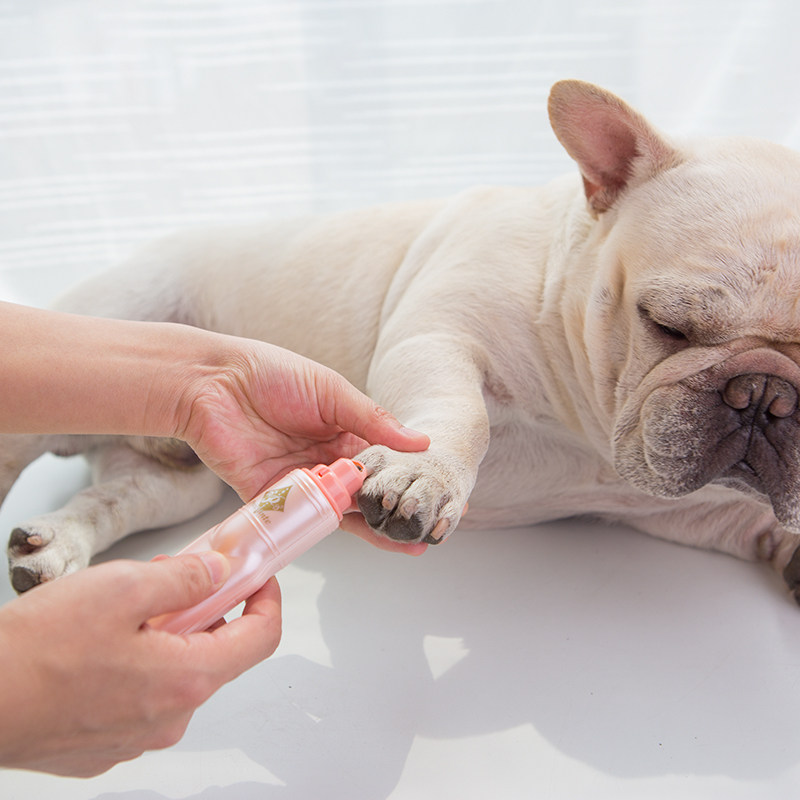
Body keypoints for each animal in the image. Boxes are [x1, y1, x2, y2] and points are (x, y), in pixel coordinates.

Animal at [6, 79, 800, 602]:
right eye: (666, 325)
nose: (764, 394)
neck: (595, 433)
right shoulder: (440, 334)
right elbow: (458, 413)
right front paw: (427, 477)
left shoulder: (704, 511)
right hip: (102, 333)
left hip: (177, 476)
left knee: (124, 496)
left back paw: (53, 550)